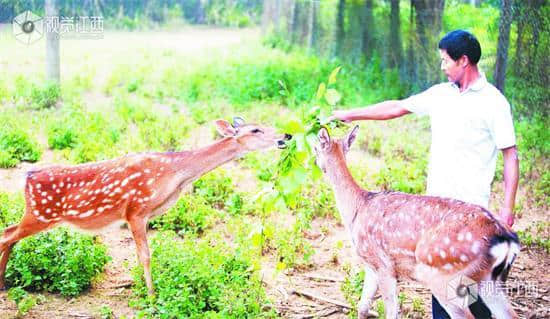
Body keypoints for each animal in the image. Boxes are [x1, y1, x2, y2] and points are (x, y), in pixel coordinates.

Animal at [0, 117, 294, 296]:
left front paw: (144, 288)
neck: (174, 176)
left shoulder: (145, 215)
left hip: (36, 214)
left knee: (8, 233)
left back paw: (3, 284)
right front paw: (152, 296)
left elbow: (142, 255)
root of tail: (26, 177)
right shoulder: (135, 210)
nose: (287, 135)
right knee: (7, 235)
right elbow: (146, 256)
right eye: (255, 130)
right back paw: (3, 284)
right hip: (41, 213)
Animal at [314, 126, 520, 318]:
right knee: (511, 314)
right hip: (491, 280)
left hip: (444, 276)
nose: (315, 162)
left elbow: (391, 313)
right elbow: (362, 307)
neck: (357, 210)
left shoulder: (384, 265)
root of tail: (506, 240)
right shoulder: (370, 264)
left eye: (315, 148)